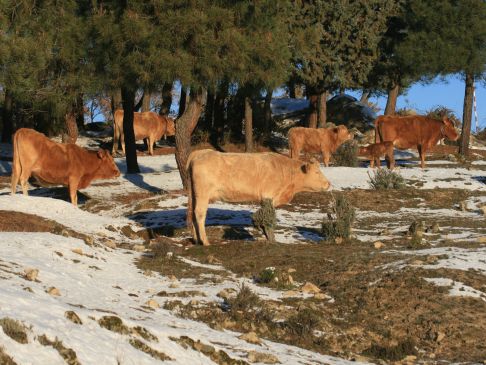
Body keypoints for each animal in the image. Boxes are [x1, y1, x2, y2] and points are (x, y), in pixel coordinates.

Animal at [186, 148, 330, 245]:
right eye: (317, 172)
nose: (328, 184)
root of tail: (199, 153)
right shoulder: (269, 196)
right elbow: (269, 217)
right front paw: (270, 238)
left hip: (193, 194)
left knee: (191, 213)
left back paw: (196, 239)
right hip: (203, 194)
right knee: (199, 213)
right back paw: (205, 241)